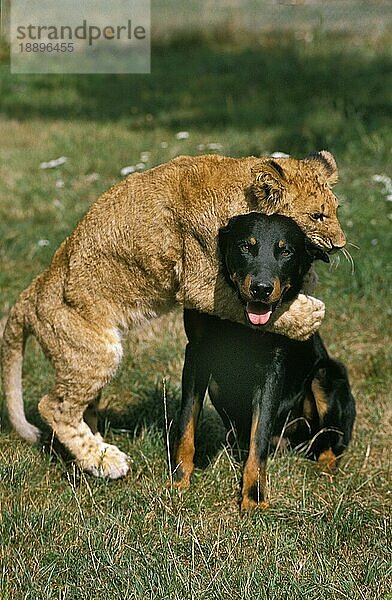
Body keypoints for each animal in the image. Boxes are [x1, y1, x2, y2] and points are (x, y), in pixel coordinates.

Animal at [172, 213, 356, 508]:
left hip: (328, 375)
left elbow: (259, 436)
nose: (261, 289)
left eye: (286, 251)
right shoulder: (198, 353)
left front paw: (254, 497)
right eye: (246, 247)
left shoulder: (272, 366)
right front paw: (179, 481)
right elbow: (187, 424)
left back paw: (323, 473)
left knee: (330, 442)